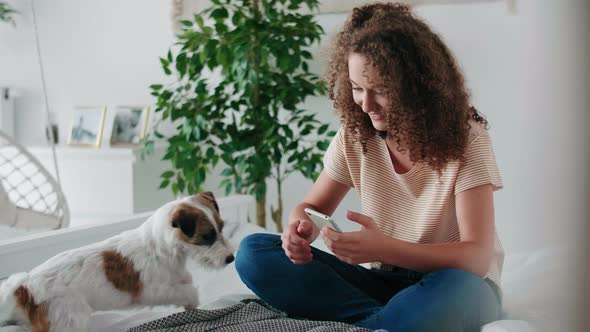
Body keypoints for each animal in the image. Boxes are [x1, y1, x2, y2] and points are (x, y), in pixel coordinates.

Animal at [0, 192, 235, 332]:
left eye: (221, 228)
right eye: (207, 237)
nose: (231, 258)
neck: (161, 247)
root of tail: (23, 287)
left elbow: (185, 281)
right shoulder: (155, 290)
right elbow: (187, 291)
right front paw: (193, 302)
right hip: (68, 319)